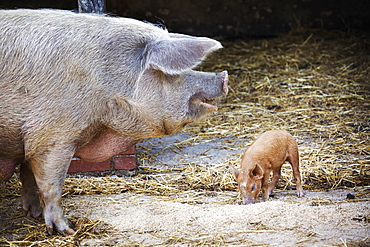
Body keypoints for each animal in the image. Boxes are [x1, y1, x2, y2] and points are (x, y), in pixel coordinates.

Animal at [0, 8, 228, 234]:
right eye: (175, 73)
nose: (224, 76)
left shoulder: (30, 141)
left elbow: (28, 177)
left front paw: (34, 215)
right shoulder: (52, 136)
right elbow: (51, 185)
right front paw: (67, 230)